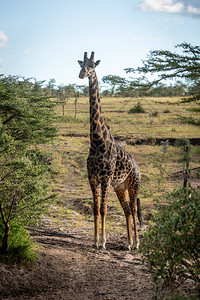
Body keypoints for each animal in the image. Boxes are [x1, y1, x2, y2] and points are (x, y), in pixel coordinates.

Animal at [77, 52, 141, 250]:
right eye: (81, 64)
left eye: (92, 66)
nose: (82, 74)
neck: (98, 142)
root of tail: (138, 167)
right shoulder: (92, 178)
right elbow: (95, 209)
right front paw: (94, 241)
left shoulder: (105, 178)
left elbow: (104, 209)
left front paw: (103, 242)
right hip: (120, 187)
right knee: (127, 210)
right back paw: (128, 243)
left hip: (134, 184)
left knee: (133, 209)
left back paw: (137, 243)